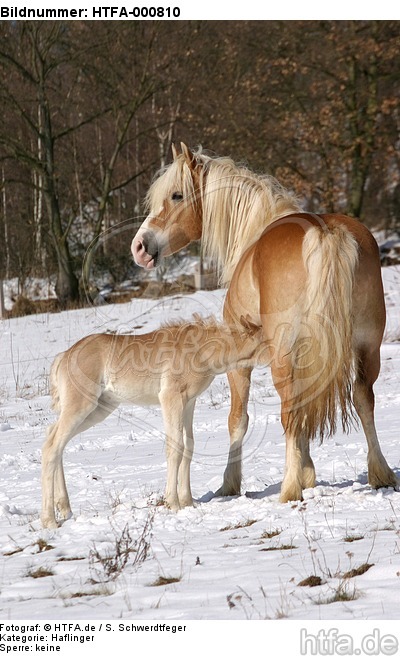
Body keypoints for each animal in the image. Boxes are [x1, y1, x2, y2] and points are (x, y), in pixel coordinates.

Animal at [41, 315, 262, 528]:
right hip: (81, 407)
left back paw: (65, 509)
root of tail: (64, 356)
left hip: (97, 411)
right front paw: (173, 504)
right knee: (52, 446)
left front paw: (188, 502)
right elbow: (175, 447)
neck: (199, 350)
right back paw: (50, 521)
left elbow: (188, 446)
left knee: (54, 439)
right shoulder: (171, 399)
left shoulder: (189, 403)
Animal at [131, 142, 398, 503]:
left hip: (284, 355)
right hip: (367, 346)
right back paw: (380, 474)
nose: (139, 247)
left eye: (176, 195)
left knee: (290, 411)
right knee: (362, 399)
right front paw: (309, 472)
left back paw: (289, 488)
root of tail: (325, 232)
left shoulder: (239, 362)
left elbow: (237, 420)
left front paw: (230, 483)